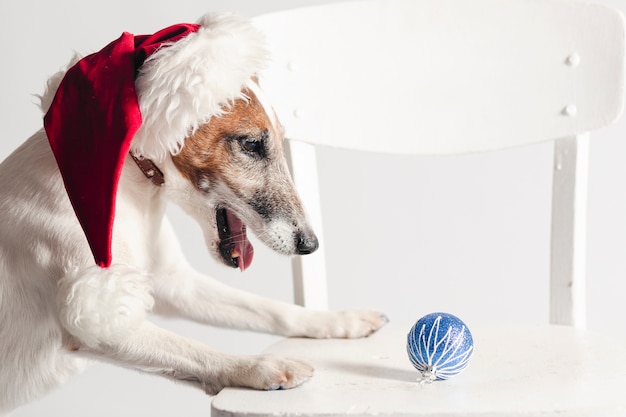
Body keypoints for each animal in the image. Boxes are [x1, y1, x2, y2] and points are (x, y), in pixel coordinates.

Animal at [0, 12, 386, 412]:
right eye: (251, 144)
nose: (309, 246)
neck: (131, 186)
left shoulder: (173, 285)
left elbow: (271, 309)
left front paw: (339, 320)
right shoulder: (99, 319)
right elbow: (196, 350)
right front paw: (261, 366)